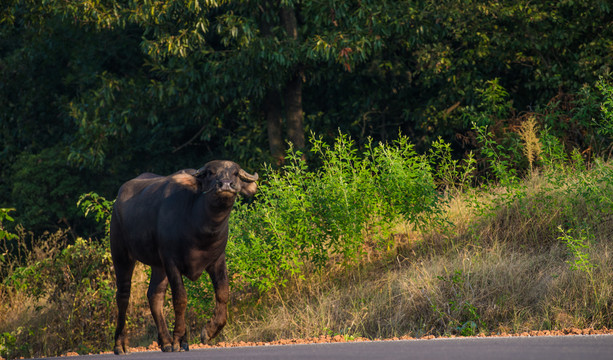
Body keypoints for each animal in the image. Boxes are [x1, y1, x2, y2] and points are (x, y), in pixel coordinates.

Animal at [109, 160, 256, 354]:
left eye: (236, 174)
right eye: (210, 173)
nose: (225, 184)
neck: (199, 227)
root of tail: (117, 200)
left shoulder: (217, 260)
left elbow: (223, 293)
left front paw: (209, 332)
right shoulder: (171, 262)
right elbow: (180, 298)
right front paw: (179, 339)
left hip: (158, 266)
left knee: (154, 295)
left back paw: (165, 342)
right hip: (121, 254)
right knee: (123, 296)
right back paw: (120, 344)